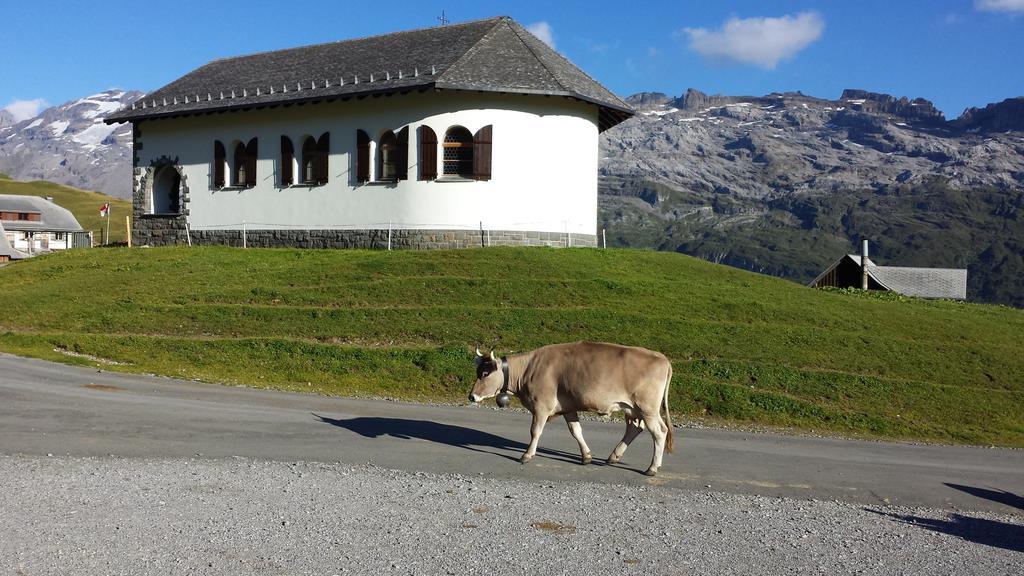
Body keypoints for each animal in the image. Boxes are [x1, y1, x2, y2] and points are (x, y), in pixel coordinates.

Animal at [468, 340, 675, 475]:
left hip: (647, 408)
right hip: (634, 409)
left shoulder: (541, 406)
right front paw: (586, 456)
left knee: (659, 432)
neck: (528, 369)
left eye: (485, 373)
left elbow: (535, 431)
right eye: (477, 372)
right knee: (636, 429)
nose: (472, 396)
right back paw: (614, 456)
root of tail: (661, 358)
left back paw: (652, 468)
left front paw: (526, 455)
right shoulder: (567, 407)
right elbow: (576, 431)